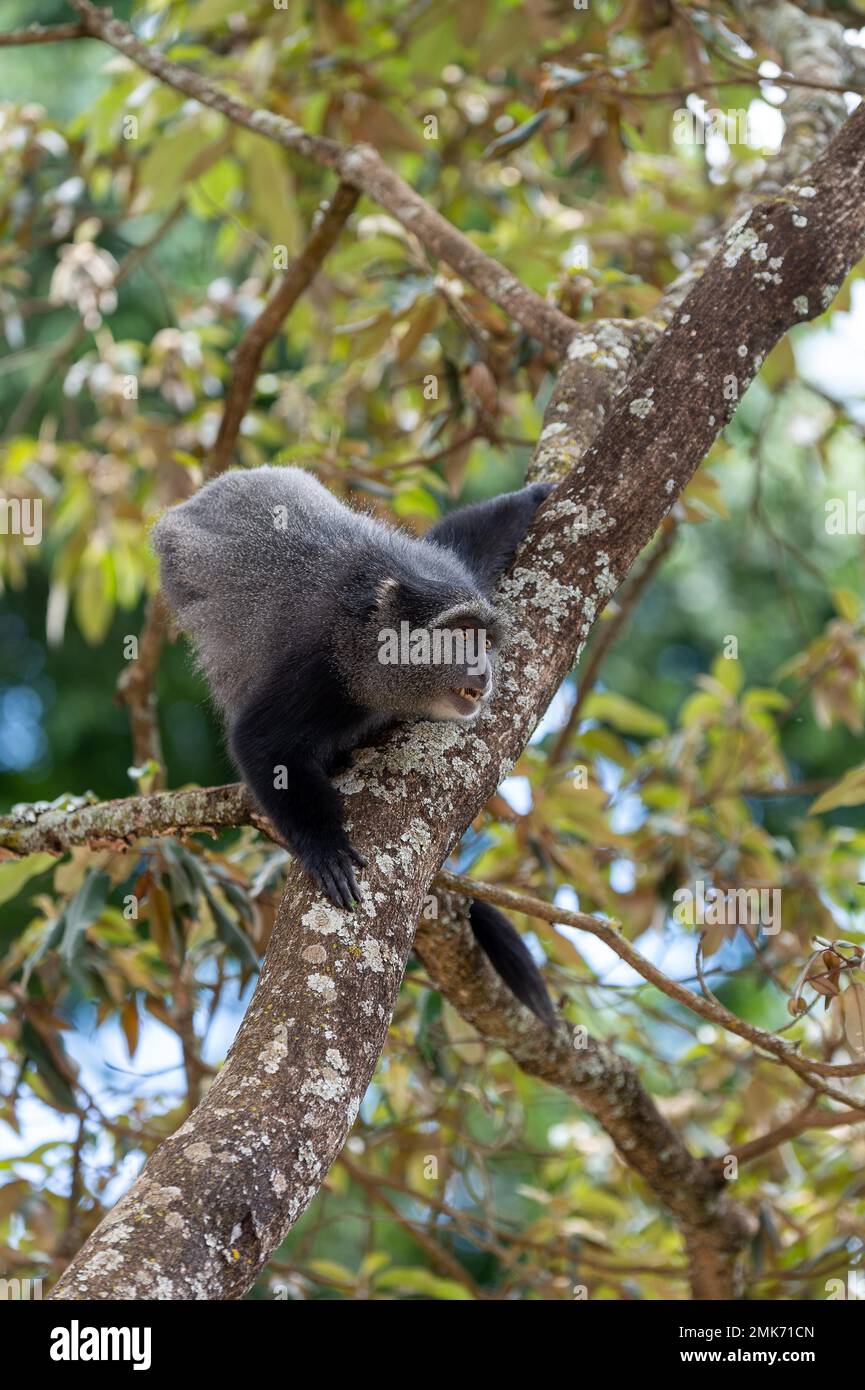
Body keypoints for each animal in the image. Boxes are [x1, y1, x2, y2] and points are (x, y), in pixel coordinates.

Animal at [152, 465, 555, 1023]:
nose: (484, 670)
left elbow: (468, 534)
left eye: (486, 639)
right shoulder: (321, 670)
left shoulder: (447, 567)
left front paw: (538, 493)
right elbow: (260, 744)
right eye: (459, 636)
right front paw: (325, 848)